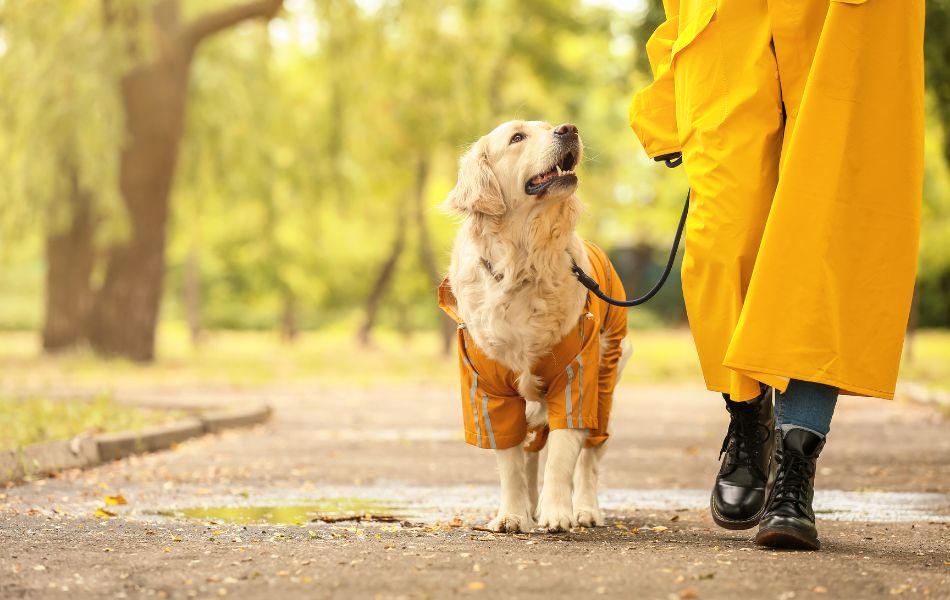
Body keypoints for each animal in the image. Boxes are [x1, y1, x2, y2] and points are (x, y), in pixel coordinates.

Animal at [440, 119, 632, 532]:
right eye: (517, 137)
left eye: (547, 126)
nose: (569, 128)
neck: (523, 262)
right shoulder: (488, 388)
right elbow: (510, 462)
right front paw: (513, 514)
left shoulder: (576, 375)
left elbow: (562, 454)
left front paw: (557, 512)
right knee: (529, 451)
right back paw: (528, 506)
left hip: (606, 379)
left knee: (590, 455)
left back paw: (585, 508)